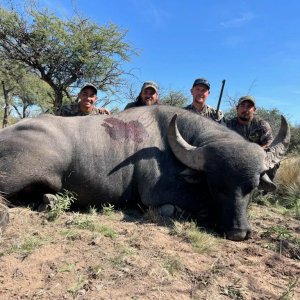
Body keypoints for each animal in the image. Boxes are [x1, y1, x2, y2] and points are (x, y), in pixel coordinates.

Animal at [0, 105, 290, 239]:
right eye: (215, 187)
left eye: (252, 188)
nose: (238, 232)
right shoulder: (157, 195)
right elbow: (176, 207)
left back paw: (49, 201)